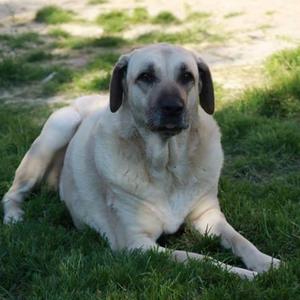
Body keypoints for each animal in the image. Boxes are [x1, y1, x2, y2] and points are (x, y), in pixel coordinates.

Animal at [2, 44, 280, 278]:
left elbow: (240, 239)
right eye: (146, 76)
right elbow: (198, 258)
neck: (168, 166)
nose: (173, 108)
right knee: (12, 192)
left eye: (187, 76)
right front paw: (244, 274)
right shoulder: (137, 245)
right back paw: (14, 217)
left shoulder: (208, 217)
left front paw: (266, 262)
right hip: (58, 128)